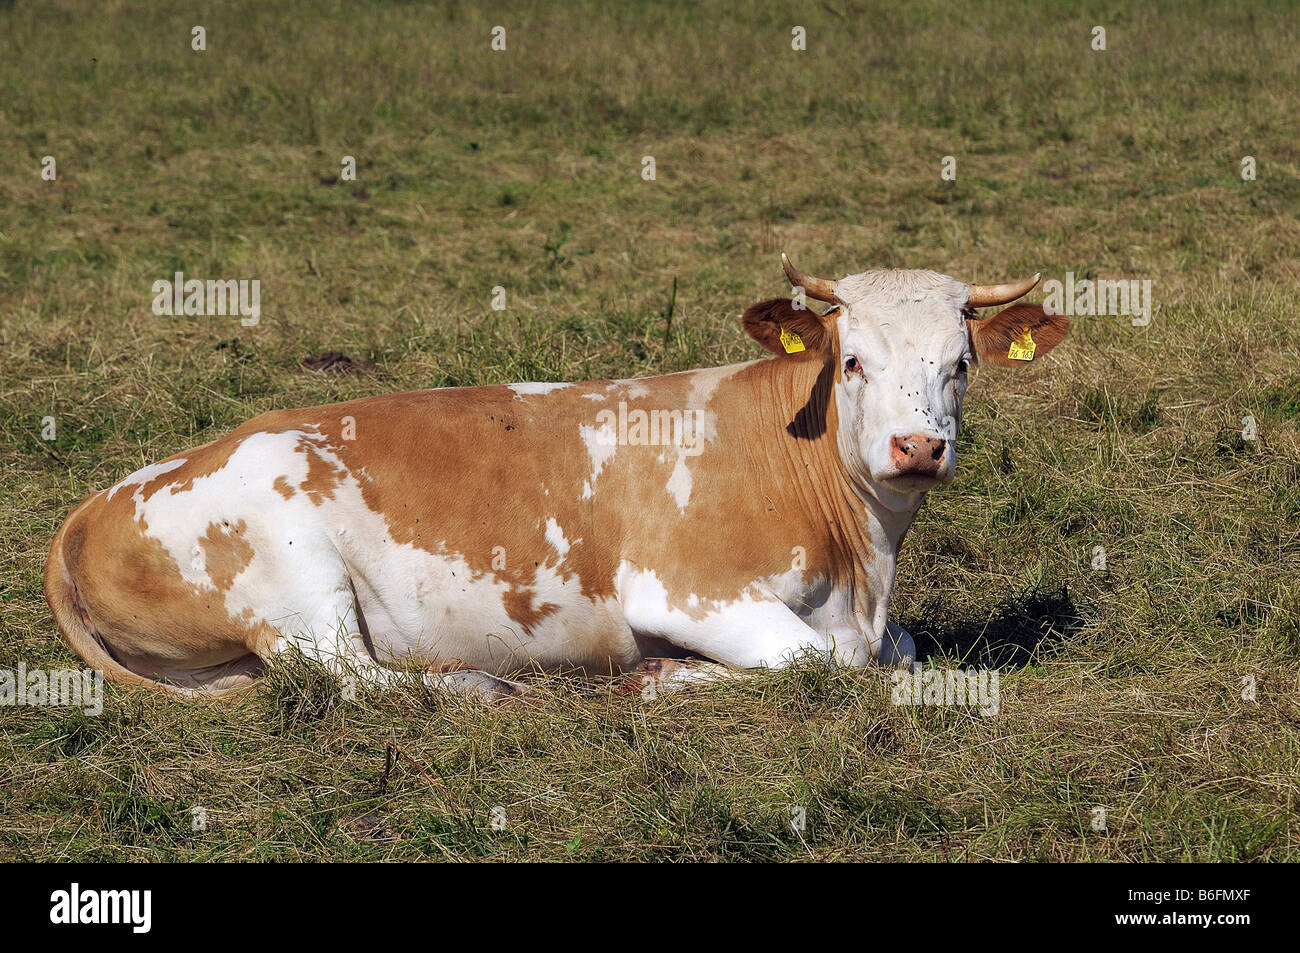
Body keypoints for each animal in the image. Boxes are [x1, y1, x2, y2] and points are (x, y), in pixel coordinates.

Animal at [45, 256, 1068, 699]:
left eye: (962, 364)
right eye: (852, 360)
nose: (917, 447)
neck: (863, 565)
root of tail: (97, 500)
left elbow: (899, 650)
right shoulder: (686, 589)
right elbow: (821, 663)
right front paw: (670, 677)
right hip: (295, 577)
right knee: (353, 676)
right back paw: (470, 684)